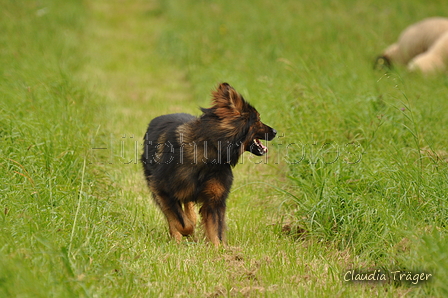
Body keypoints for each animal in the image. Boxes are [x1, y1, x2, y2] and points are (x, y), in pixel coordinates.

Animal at [140, 82, 274, 246]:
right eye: (258, 119)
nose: (275, 131)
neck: (211, 148)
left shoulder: (214, 200)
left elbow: (215, 229)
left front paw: (218, 249)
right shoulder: (162, 190)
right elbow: (182, 223)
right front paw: (187, 233)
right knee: (172, 216)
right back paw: (177, 239)